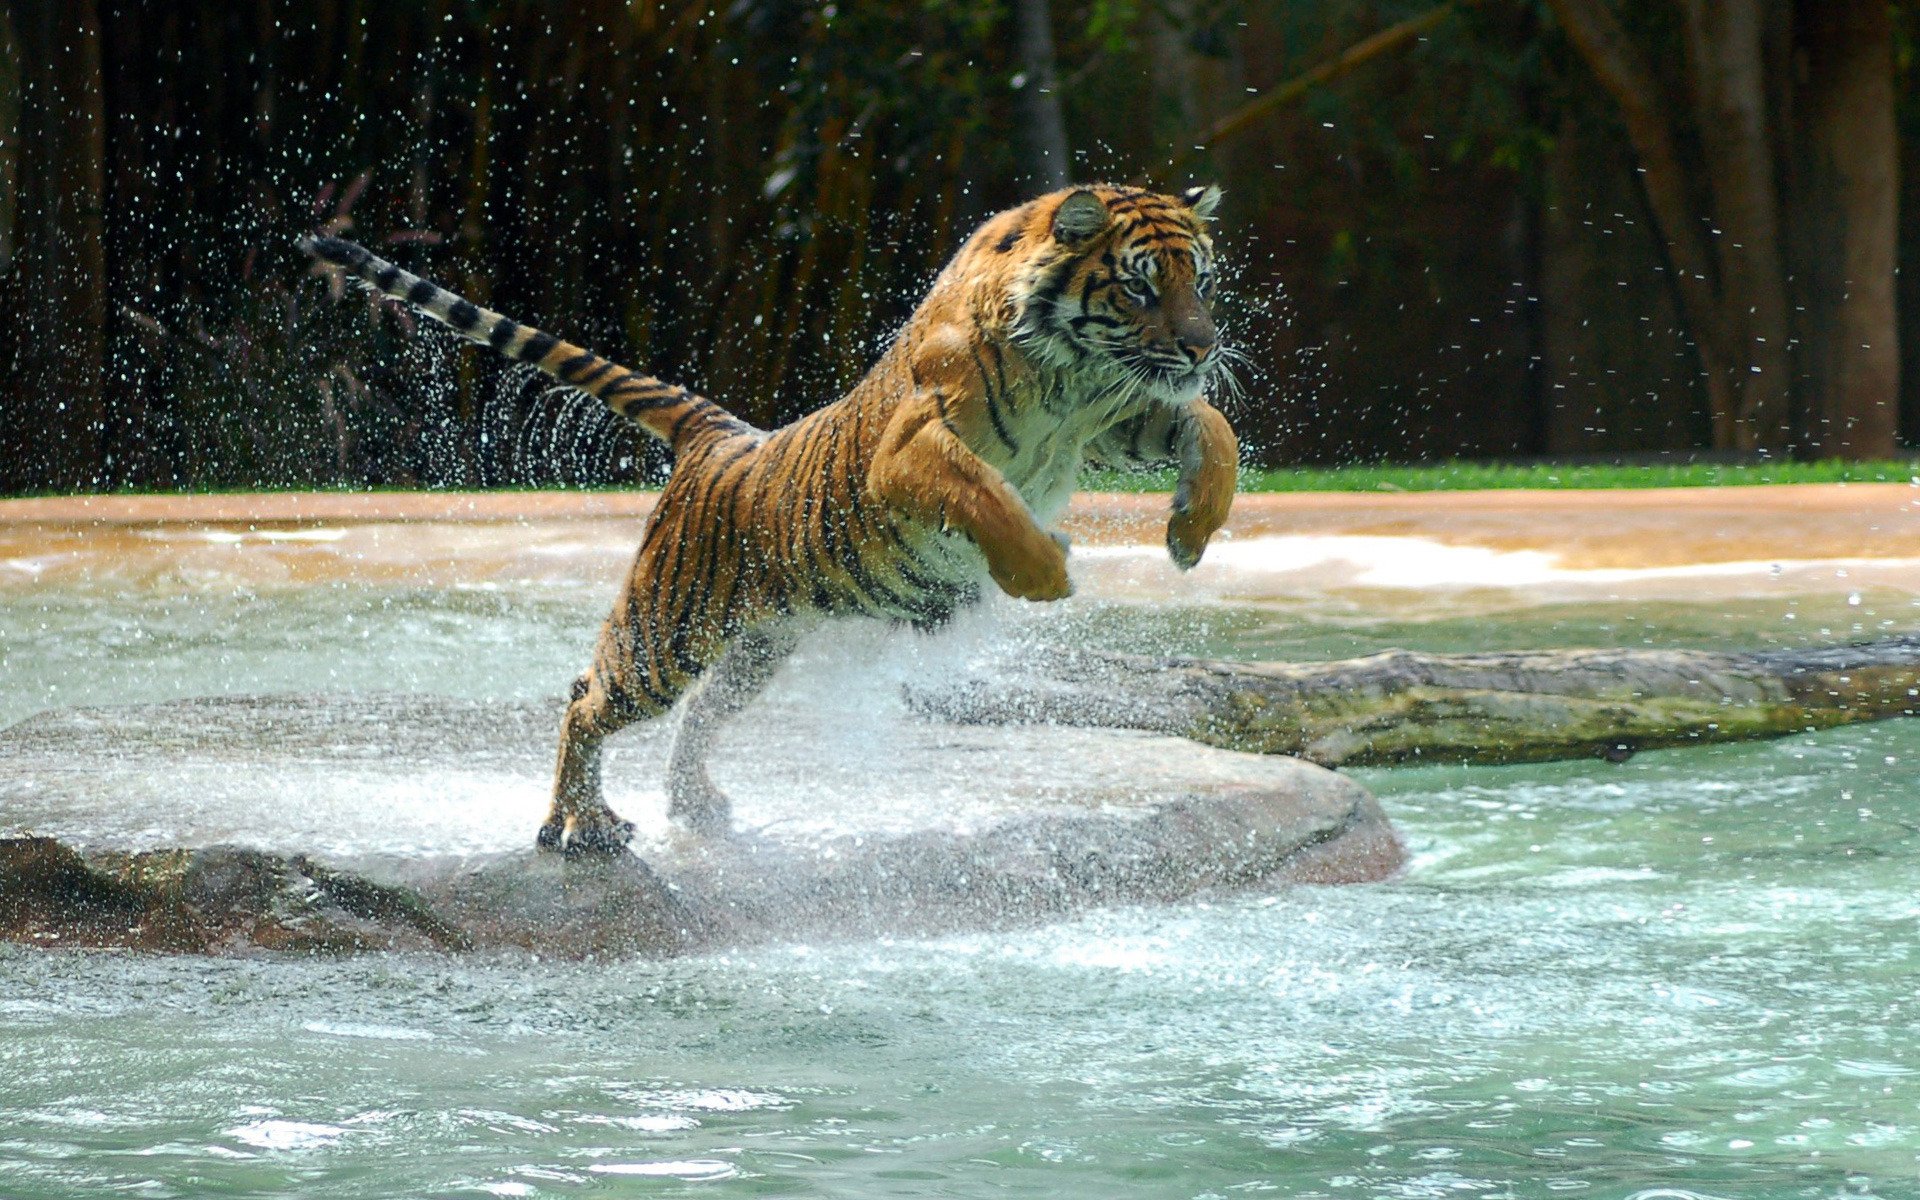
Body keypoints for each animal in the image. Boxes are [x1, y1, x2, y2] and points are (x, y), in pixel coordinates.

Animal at [299, 182, 1228, 856]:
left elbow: (1212, 428)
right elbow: (988, 495)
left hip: (756, 645)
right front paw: (1045, 571)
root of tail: (720, 436)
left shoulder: (1116, 418)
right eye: (1140, 284)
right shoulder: (914, 448)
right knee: (587, 697)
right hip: (666, 631)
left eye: (1201, 280)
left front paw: (1189, 531)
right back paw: (581, 827)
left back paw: (695, 807)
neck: (1071, 375)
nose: (1203, 346)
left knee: (700, 715)